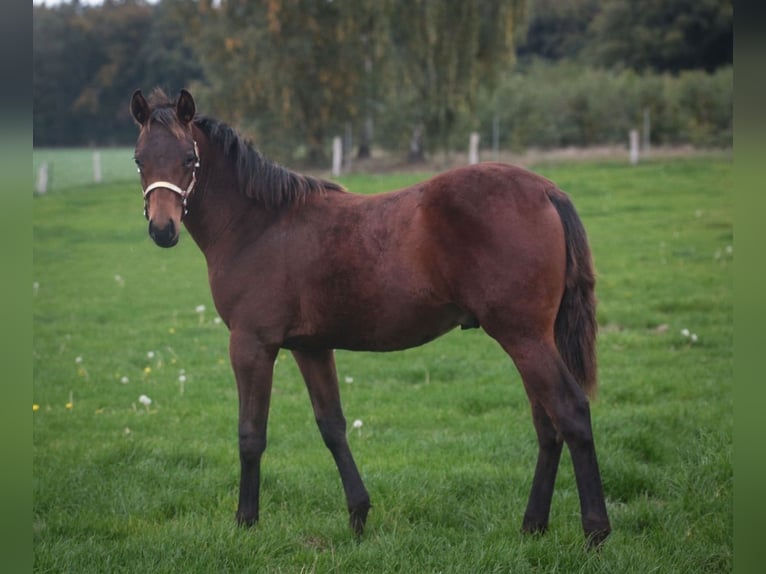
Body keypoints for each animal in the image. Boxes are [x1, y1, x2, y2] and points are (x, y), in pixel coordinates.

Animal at [130, 88, 611, 547]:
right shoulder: (311, 347)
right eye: (139, 160)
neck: (259, 224)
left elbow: (251, 434)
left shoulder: (252, 344)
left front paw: (246, 521)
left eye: (189, 158)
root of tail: (546, 189)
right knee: (547, 425)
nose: (162, 230)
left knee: (569, 413)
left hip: (523, 337)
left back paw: (595, 532)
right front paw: (359, 515)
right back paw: (533, 526)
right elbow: (332, 426)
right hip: (531, 339)